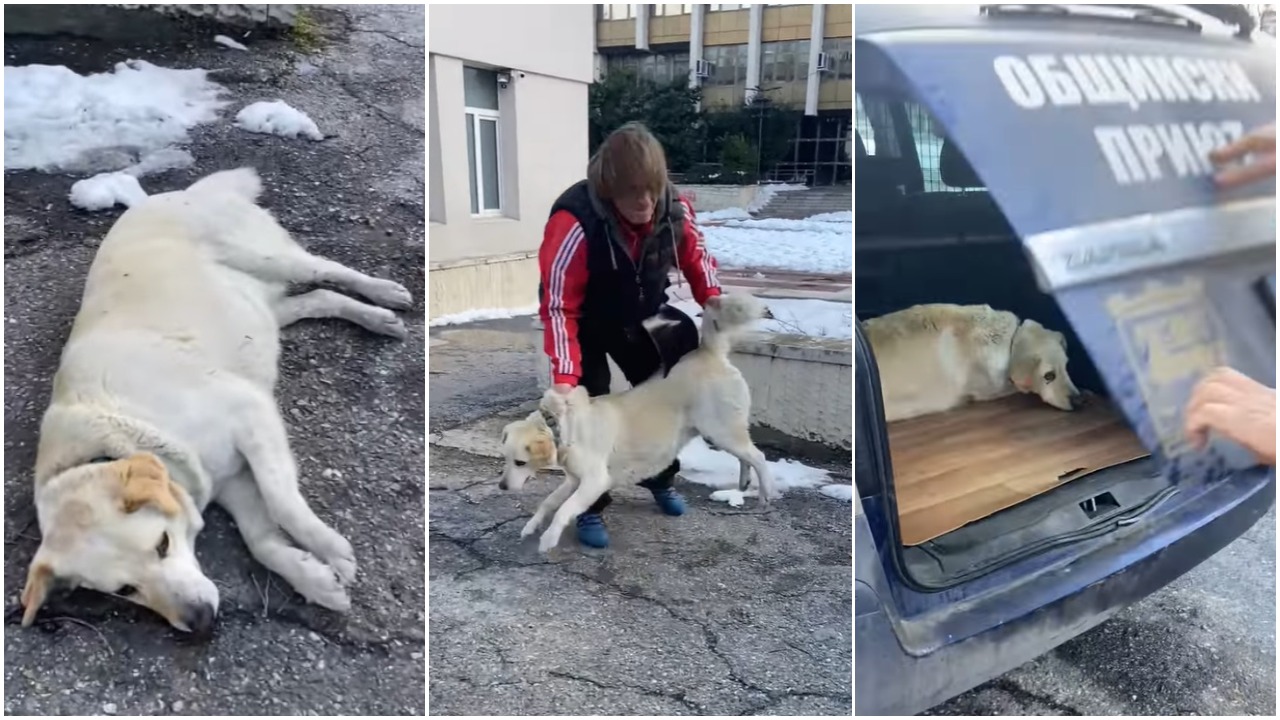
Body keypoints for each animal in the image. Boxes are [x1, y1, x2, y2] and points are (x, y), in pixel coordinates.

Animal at [20, 165, 412, 630]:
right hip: (265, 311)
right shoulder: (232, 480)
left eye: (162, 544)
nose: (200, 621)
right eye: (126, 590)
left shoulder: (249, 414)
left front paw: (330, 549)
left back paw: (385, 297)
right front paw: (313, 578)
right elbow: (262, 540)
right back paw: (373, 317)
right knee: (320, 297)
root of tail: (170, 195)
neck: (121, 437)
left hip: (268, 256)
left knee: (329, 270)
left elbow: (283, 504)